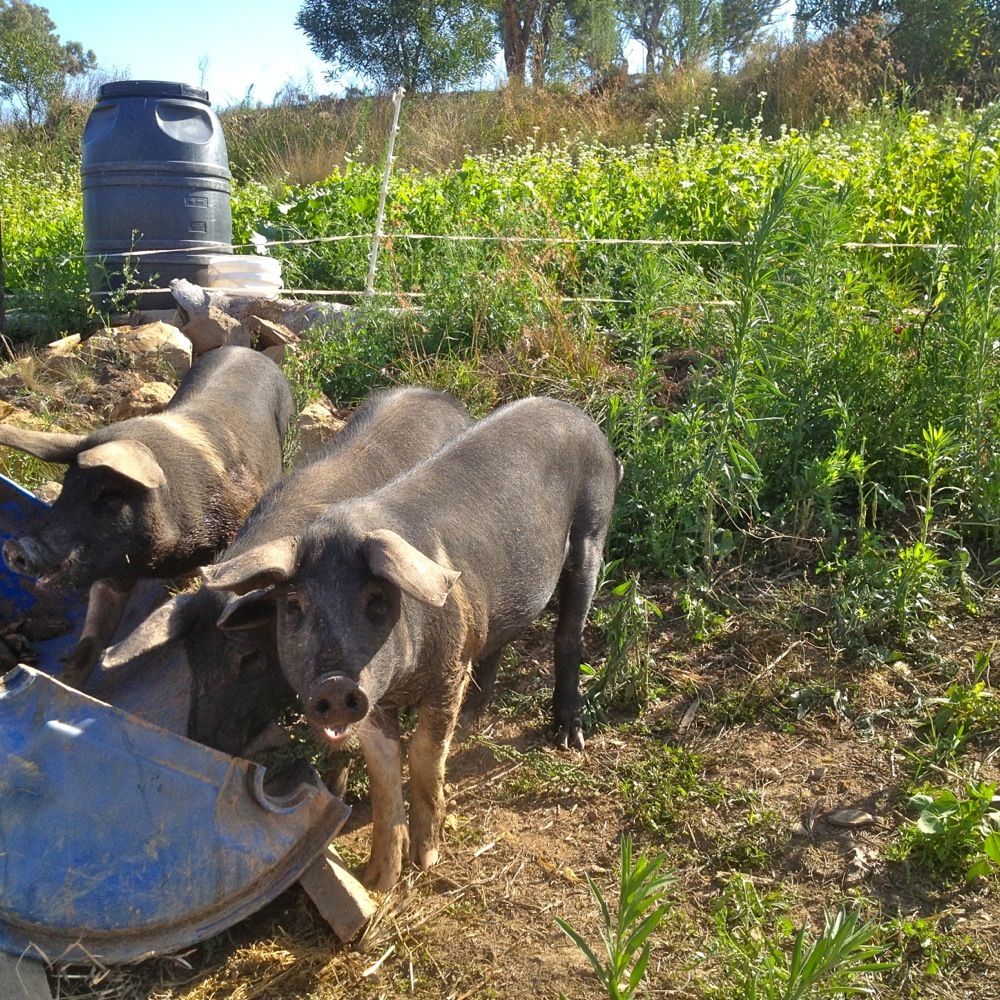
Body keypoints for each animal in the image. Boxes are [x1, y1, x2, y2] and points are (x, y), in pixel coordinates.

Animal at [0, 346, 294, 688]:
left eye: (110, 494)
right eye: (65, 486)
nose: (15, 547)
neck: (162, 557)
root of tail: (247, 350)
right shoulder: (112, 572)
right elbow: (89, 641)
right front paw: (66, 685)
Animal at [201, 394, 624, 888]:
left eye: (375, 597)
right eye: (293, 606)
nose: (334, 683)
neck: (402, 681)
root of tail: (582, 419)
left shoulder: (448, 669)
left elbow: (424, 754)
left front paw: (427, 860)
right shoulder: (376, 702)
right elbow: (385, 772)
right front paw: (378, 879)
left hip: (592, 530)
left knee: (569, 631)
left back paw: (569, 736)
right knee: (499, 639)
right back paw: (474, 718)